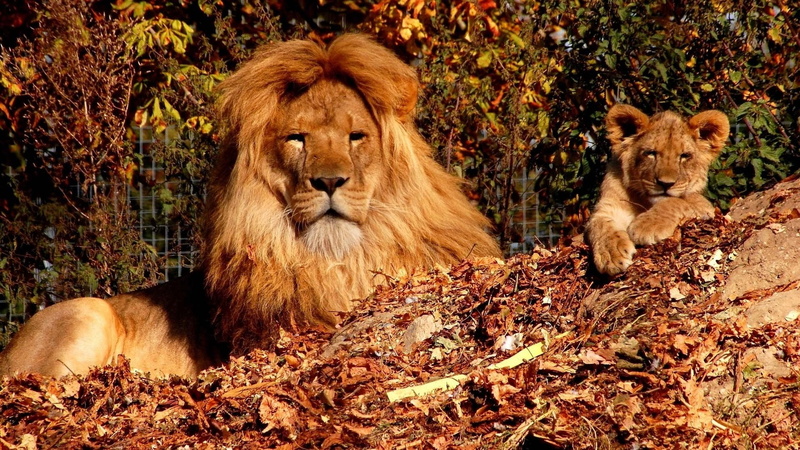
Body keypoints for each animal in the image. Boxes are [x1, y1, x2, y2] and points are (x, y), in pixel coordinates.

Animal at [585, 104, 729, 276]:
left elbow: (675, 201)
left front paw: (646, 226)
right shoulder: (607, 208)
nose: (665, 184)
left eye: (684, 156)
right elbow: (600, 225)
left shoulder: (705, 206)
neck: (646, 202)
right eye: (651, 153)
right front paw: (611, 254)